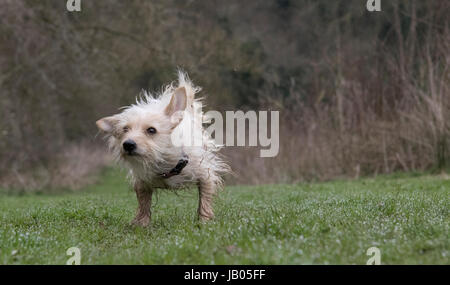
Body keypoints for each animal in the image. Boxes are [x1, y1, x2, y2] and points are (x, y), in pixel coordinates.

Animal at [95, 70, 229, 225]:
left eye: (151, 130)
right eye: (125, 130)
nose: (128, 144)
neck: (164, 163)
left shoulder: (205, 174)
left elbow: (205, 200)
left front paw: (204, 221)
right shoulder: (142, 183)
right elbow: (143, 204)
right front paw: (142, 223)